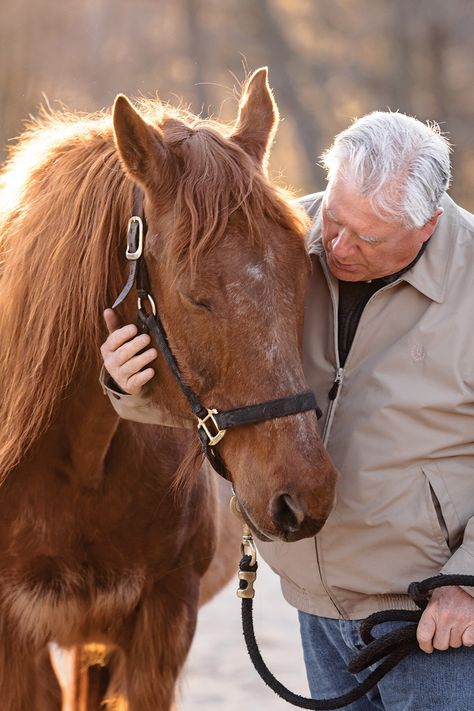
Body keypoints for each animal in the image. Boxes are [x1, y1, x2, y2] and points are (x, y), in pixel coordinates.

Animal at [0, 68, 336, 711]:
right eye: (194, 295)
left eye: (304, 278)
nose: (304, 495)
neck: (77, 463)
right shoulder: (17, 642)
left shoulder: (162, 626)